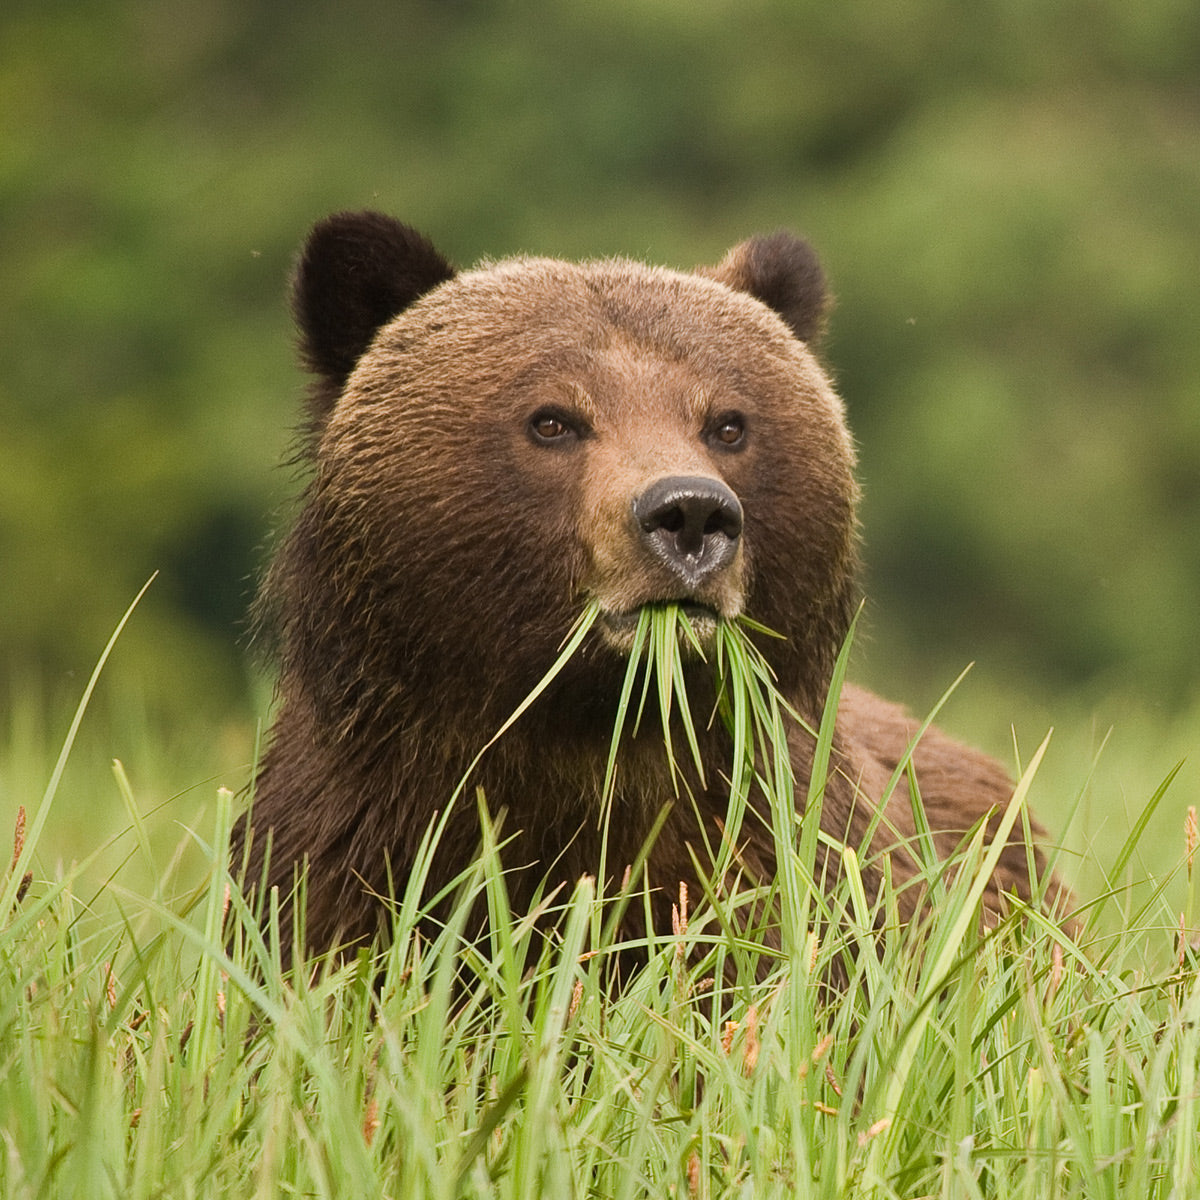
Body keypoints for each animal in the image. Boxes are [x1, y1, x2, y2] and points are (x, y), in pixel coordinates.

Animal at [234, 211, 1070, 964]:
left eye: (728, 423)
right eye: (552, 420)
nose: (690, 512)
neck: (595, 742)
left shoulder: (790, 868)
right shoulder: (347, 858)